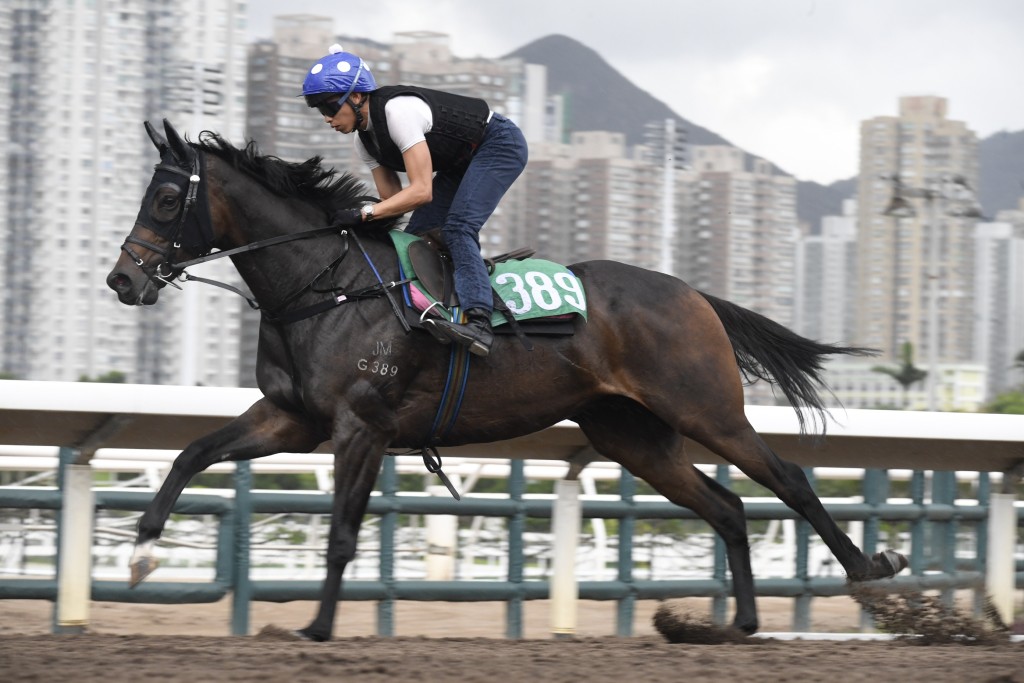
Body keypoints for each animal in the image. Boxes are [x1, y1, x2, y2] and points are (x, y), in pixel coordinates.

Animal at [103, 118, 905, 643]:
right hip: (633, 436)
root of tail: (694, 294)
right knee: (729, 506)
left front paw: (318, 628)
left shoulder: (361, 426)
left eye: (167, 200)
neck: (324, 286)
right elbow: (191, 454)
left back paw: (870, 567)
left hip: (707, 410)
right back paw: (739, 623)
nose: (122, 280)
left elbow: (340, 534)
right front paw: (141, 553)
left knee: (788, 480)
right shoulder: (291, 418)